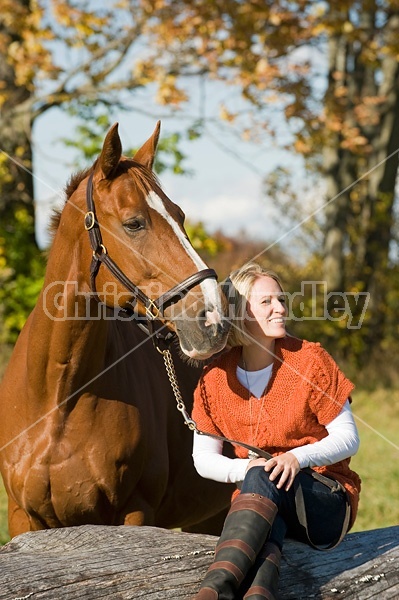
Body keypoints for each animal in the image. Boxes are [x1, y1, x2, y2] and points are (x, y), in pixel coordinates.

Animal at [0, 124, 234, 536]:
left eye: (180, 215)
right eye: (133, 223)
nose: (213, 320)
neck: (56, 398)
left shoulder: (134, 511)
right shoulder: (22, 519)